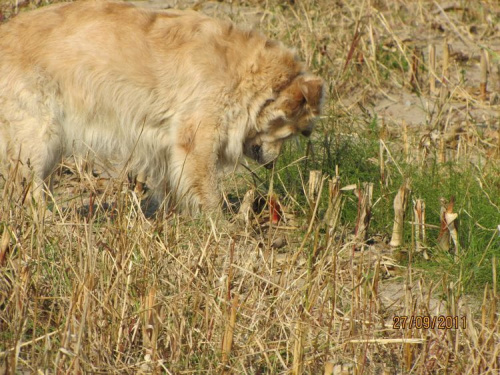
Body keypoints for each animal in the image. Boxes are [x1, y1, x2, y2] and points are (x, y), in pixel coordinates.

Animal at [0, 0, 324, 213]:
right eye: (291, 132)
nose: (272, 165)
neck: (244, 74)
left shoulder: (168, 148)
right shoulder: (197, 144)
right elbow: (208, 195)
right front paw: (219, 231)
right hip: (38, 137)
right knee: (28, 187)